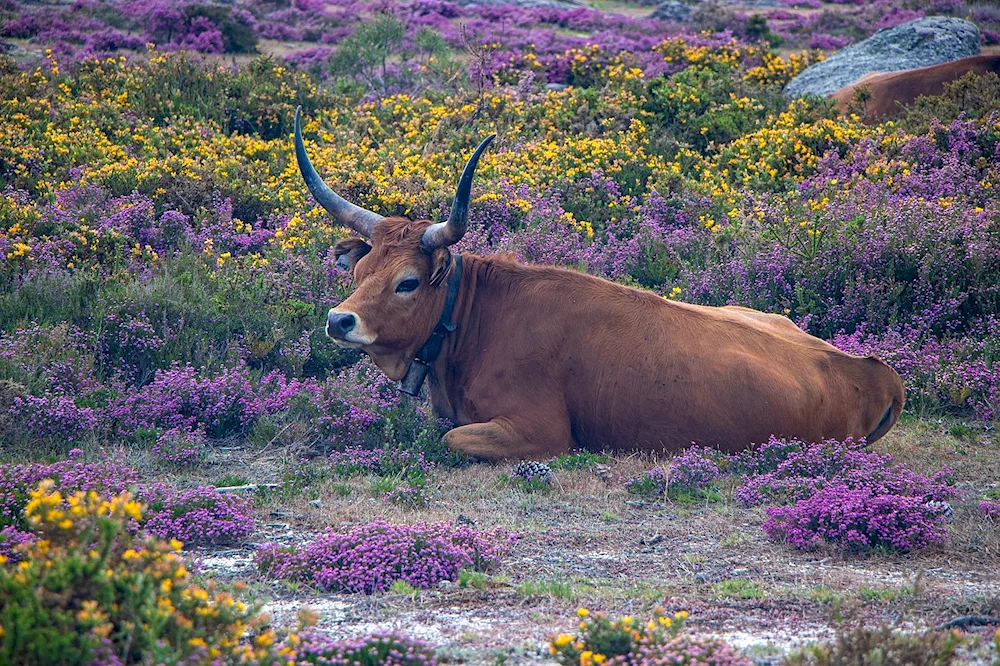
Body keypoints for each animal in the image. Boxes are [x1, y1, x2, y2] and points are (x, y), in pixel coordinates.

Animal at [294, 110, 908, 462]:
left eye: (408, 282)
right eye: (358, 273)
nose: (338, 320)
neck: (475, 324)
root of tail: (877, 370)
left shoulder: (539, 432)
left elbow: (448, 440)